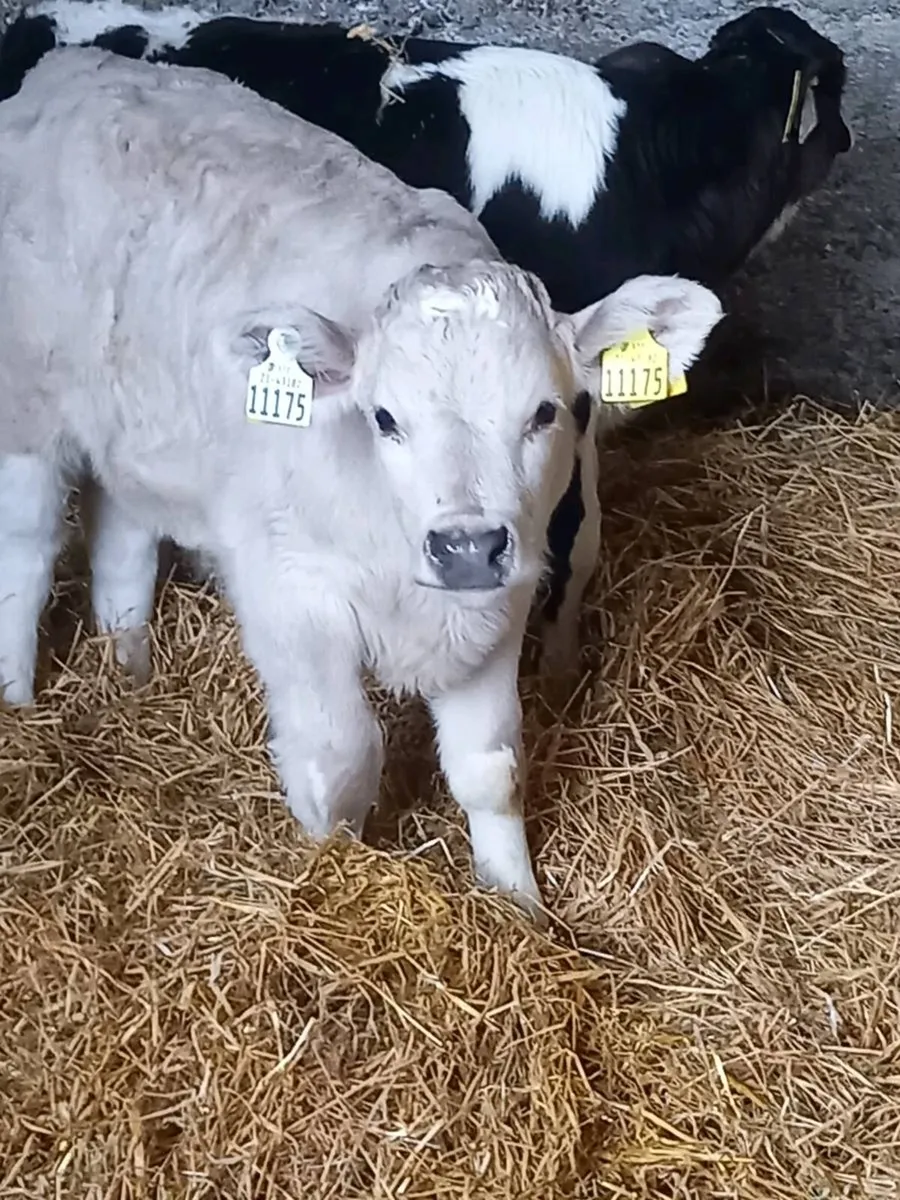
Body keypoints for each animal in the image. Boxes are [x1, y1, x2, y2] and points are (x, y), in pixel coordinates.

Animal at [0, 48, 723, 916]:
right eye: (383, 418)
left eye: (546, 412)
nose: (465, 547)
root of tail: (71, 65)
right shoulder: (289, 596)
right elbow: (342, 757)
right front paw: (335, 864)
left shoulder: (499, 605)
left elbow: (491, 767)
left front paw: (518, 903)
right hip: (27, 409)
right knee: (27, 553)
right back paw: (18, 698)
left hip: (141, 439)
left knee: (124, 536)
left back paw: (131, 663)